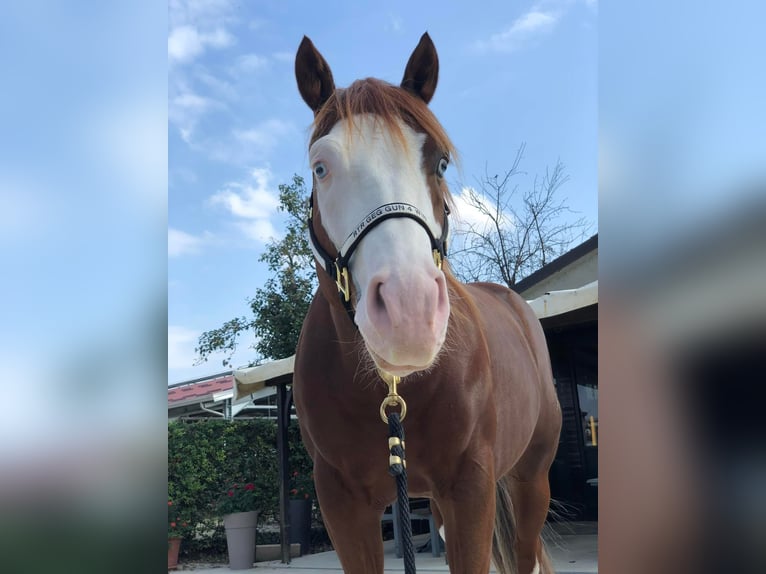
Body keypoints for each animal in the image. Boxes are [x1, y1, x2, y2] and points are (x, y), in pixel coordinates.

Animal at [292, 32, 560, 574]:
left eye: (439, 162)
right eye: (320, 168)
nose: (408, 312)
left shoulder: (471, 487)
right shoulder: (341, 503)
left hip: (530, 480)